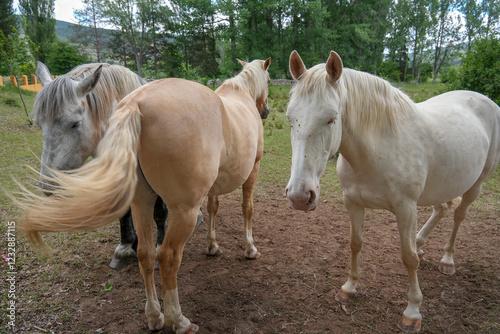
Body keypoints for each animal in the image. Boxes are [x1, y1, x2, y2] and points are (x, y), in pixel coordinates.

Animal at [16, 58, 270, 334]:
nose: (266, 111)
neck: (240, 95)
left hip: (142, 202)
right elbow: (248, 208)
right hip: (184, 211)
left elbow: (214, 207)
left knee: (146, 254)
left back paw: (154, 316)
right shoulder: (254, 169)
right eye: (269, 81)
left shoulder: (212, 187)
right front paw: (250, 248)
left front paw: (212, 245)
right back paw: (178, 320)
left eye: (73, 123)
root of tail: (135, 104)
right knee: (167, 256)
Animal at [286, 51, 500, 332]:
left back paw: (447, 260)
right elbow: (355, 243)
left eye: (331, 118)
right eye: (290, 119)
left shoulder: (406, 208)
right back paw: (421, 242)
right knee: (442, 209)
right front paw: (349, 288)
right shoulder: (352, 202)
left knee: (458, 216)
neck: (378, 149)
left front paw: (413, 312)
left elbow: (408, 258)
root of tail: (488, 102)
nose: (300, 197)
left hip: (475, 185)